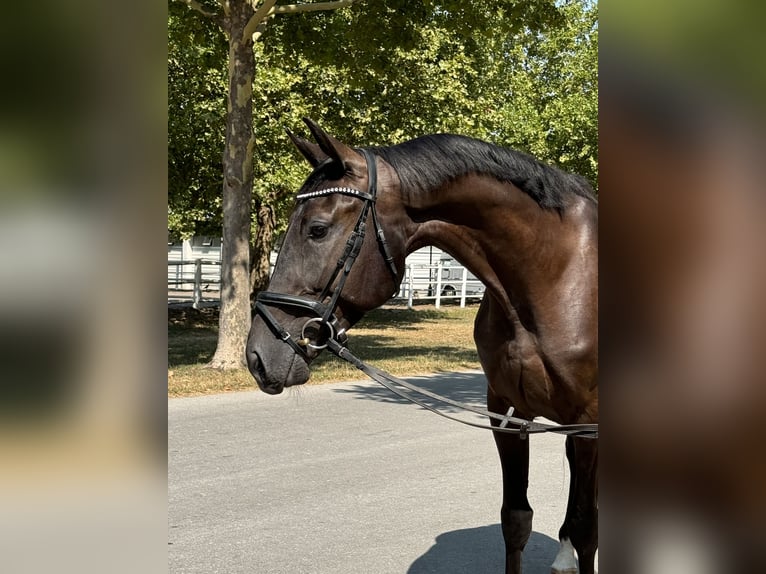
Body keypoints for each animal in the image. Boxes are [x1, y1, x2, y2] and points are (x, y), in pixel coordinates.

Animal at [246, 118, 600, 574]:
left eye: (318, 229)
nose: (258, 355)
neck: (555, 275)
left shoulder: (589, 422)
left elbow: (589, 529)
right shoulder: (507, 414)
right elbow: (516, 520)